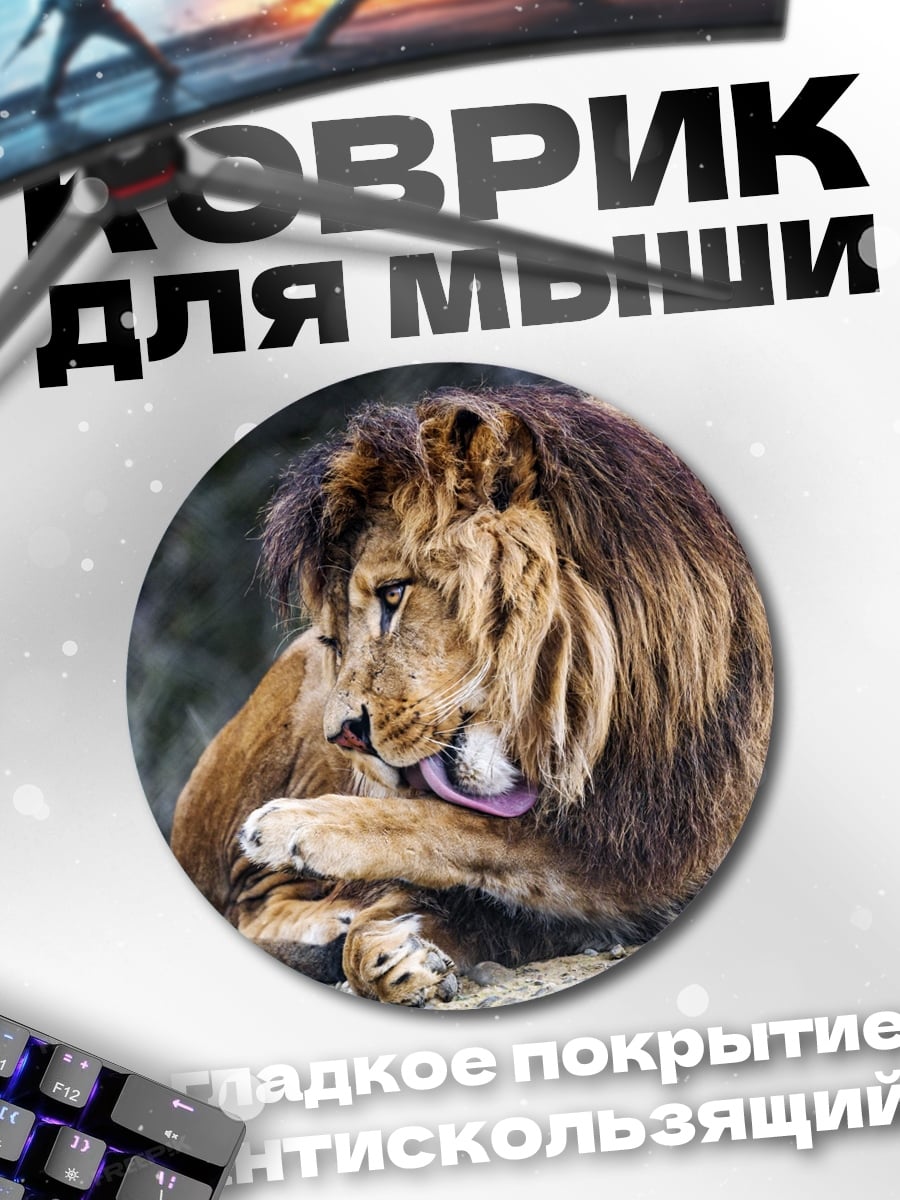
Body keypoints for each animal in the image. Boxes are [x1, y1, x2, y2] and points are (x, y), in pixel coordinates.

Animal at [170, 384, 773, 1005]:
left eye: (393, 594)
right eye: (334, 640)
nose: (343, 737)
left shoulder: (656, 845)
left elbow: (465, 831)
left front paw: (304, 831)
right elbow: (449, 837)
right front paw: (387, 948)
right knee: (249, 906)